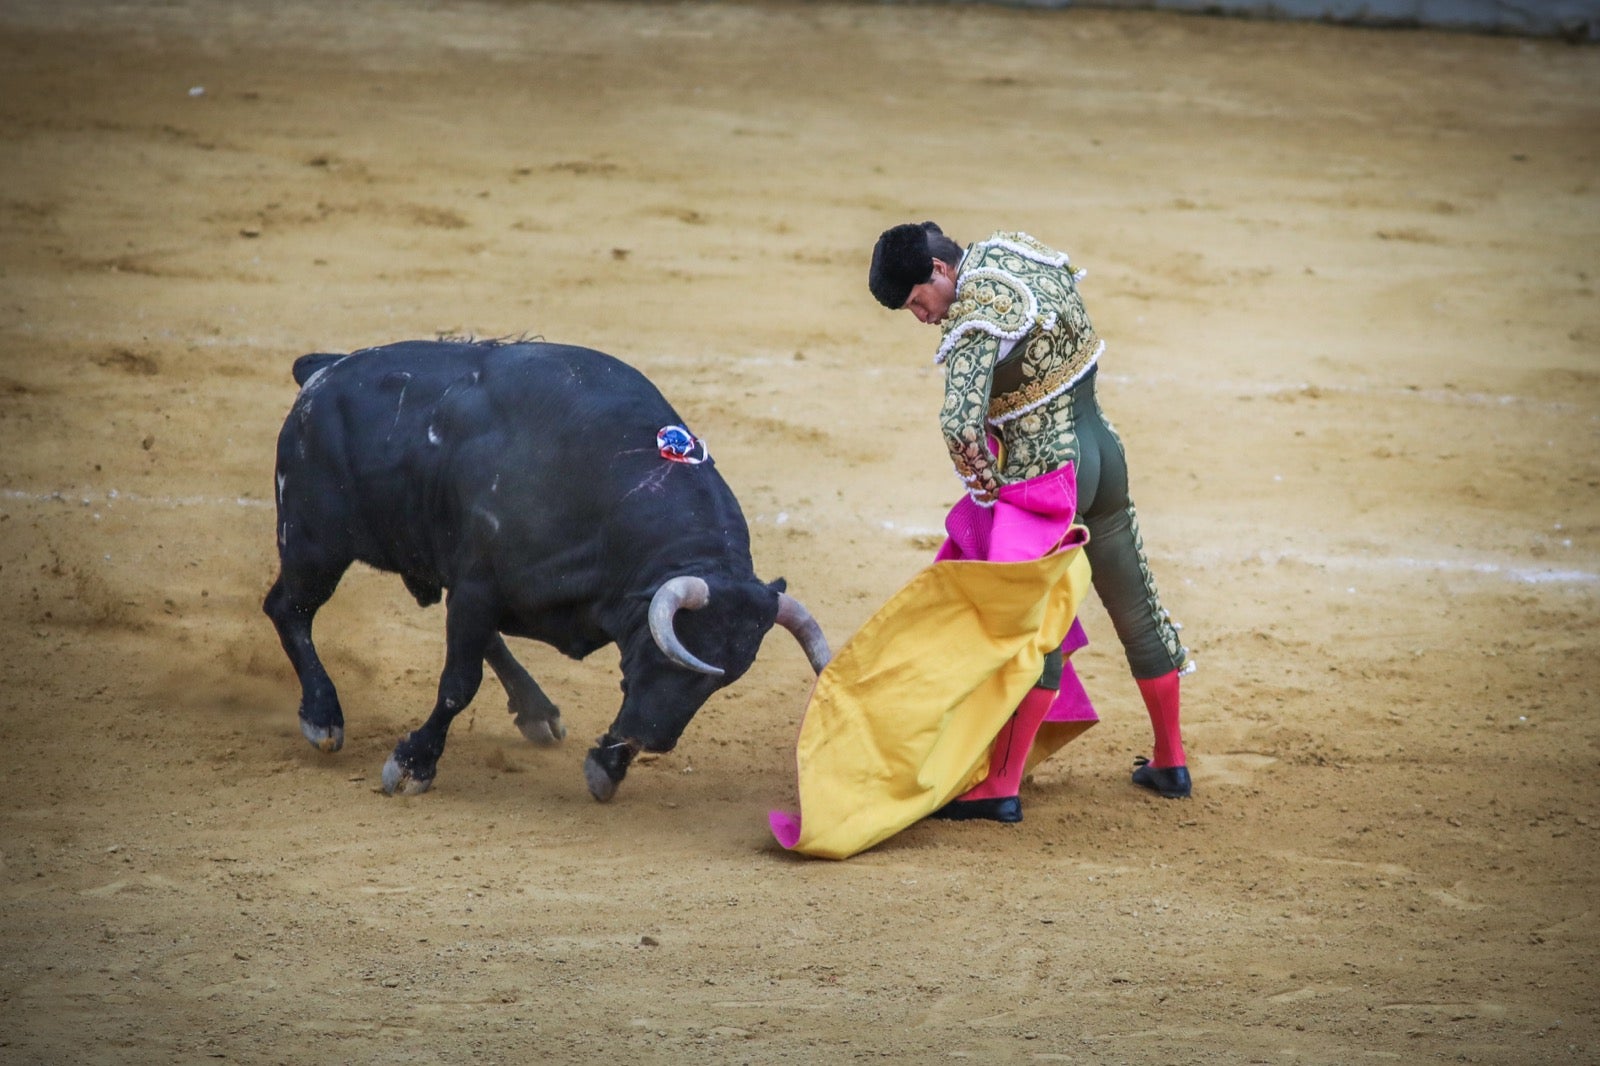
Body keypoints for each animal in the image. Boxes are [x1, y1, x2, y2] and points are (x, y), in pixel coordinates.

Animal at [264, 340, 832, 797]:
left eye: (723, 681)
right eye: (669, 653)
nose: (652, 739)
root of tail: (325, 369)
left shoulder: (479, 591)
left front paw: (607, 765)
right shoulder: (479, 587)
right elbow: (458, 684)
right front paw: (412, 765)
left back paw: (536, 711)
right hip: (315, 546)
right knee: (288, 609)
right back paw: (323, 717)